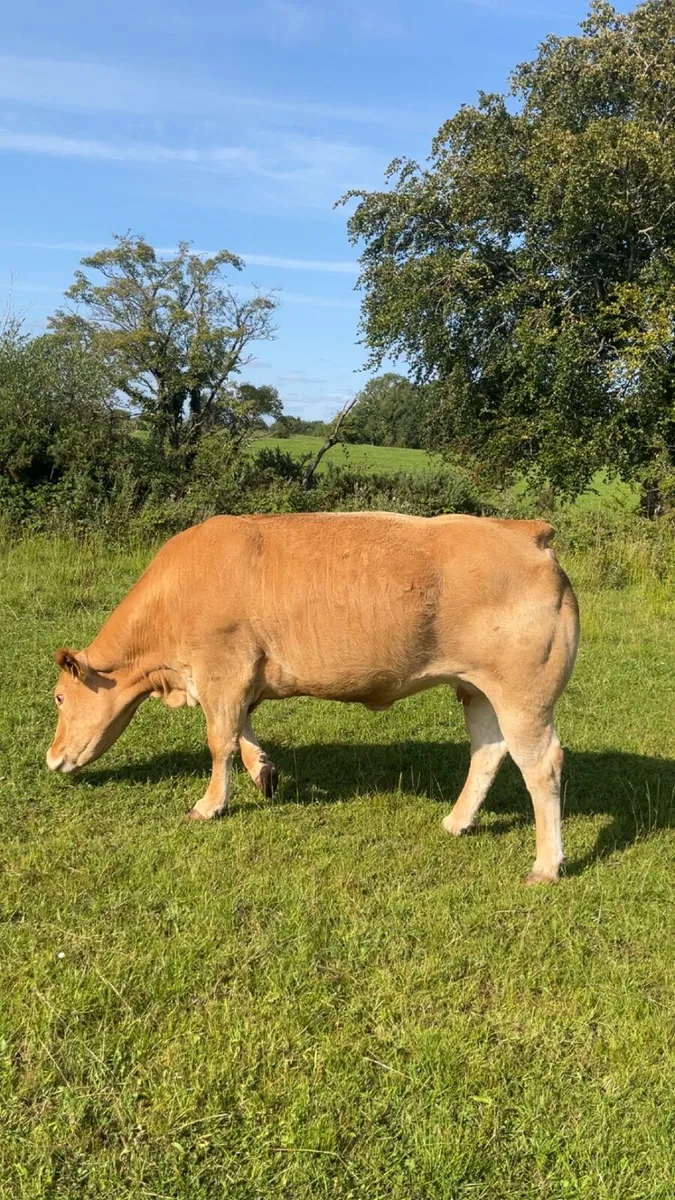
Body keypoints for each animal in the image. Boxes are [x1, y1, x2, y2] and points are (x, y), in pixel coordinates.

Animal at [47, 512, 579, 883]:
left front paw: (210, 804)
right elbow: (242, 733)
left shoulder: (221, 668)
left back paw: (546, 865)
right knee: (488, 751)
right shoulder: (244, 676)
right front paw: (264, 772)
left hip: (523, 694)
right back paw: (456, 821)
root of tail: (525, 531)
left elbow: (219, 741)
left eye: (57, 698)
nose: (51, 759)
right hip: (478, 689)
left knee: (541, 765)